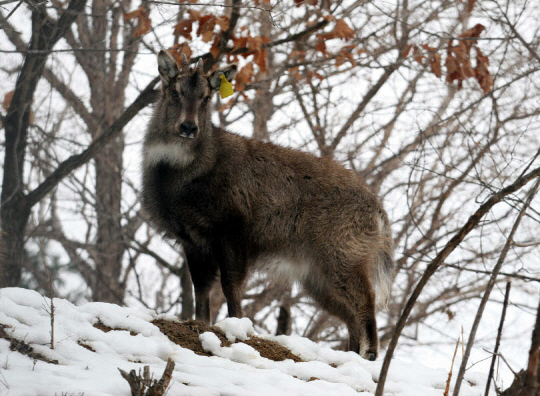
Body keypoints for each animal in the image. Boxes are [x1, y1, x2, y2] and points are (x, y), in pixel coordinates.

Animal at [140, 50, 392, 358]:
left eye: (207, 97)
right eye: (175, 91)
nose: (188, 127)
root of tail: (379, 213)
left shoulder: (234, 231)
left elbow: (231, 286)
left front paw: (238, 327)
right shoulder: (192, 239)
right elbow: (201, 291)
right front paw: (202, 324)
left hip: (344, 255)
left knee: (367, 305)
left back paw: (369, 357)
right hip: (317, 274)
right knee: (350, 316)